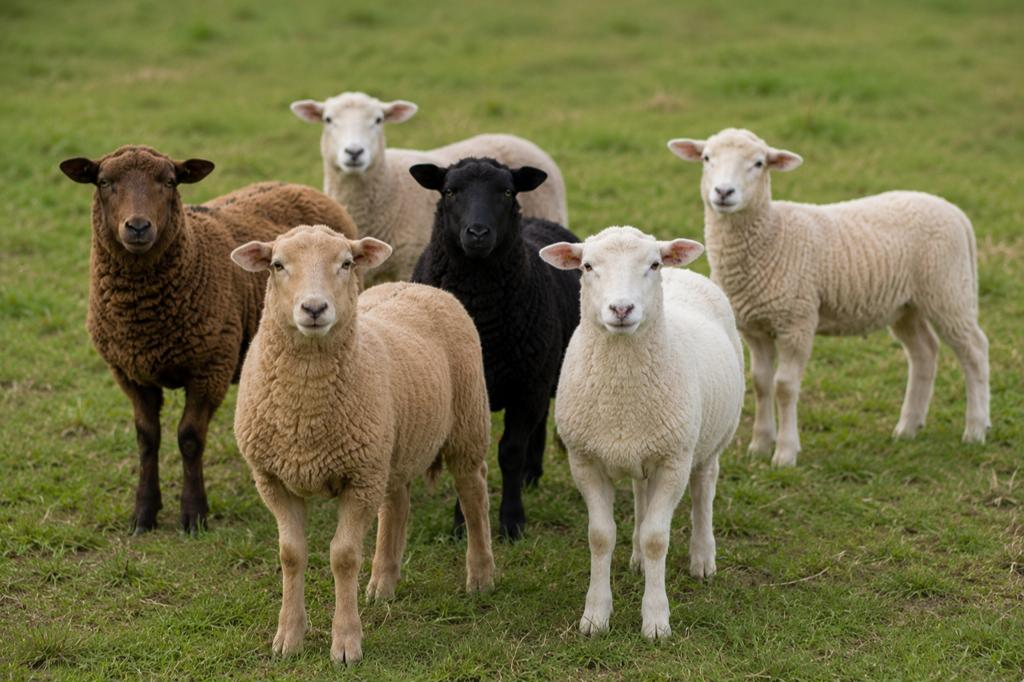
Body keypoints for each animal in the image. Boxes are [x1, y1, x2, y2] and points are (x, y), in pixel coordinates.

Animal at [59, 145, 358, 533]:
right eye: (104, 182)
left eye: (170, 181)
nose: (138, 227)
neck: (145, 314)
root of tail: (303, 188)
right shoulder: (129, 373)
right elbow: (146, 438)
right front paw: (144, 513)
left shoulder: (210, 367)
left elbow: (189, 438)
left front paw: (193, 514)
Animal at [230, 225, 494, 666]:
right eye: (277, 265)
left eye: (346, 263)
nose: (314, 308)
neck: (304, 409)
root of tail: (418, 286)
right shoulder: (274, 480)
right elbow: (290, 554)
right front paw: (289, 637)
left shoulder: (358, 480)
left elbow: (343, 556)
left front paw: (345, 643)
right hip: (390, 450)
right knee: (397, 505)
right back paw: (383, 583)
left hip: (466, 429)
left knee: (474, 498)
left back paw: (480, 576)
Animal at [408, 157, 581, 540]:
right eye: (450, 191)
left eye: (507, 192)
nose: (477, 233)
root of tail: (539, 220)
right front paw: (463, 525)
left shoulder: (527, 387)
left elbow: (511, 452)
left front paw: (512, 522)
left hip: (547, 369)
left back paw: (532, 474)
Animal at [539, 226, 744, 640]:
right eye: (587, 266)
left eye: (653, 265)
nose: (621, 310)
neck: (622, 395)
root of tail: (685, 273)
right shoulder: (585, 460)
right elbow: (601, 536)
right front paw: (595, 616)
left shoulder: (673, 461)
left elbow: (656, 538)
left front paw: (655, 620)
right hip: (643, 447)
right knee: (639, 494)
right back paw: (634, 558)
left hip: (709, 440)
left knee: (704, 490)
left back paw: (703, 559)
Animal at [667, 128, 991, 467]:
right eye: (706, 158)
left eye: (758, 163)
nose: (723, 192)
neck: (772, 234)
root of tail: (954, 211)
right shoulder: (754, 326)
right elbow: (761, 383)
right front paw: (760, 445)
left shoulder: (797, 321)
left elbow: (784, 386)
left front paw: (785, 453)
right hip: (907, 305)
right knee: (924, 352)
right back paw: (908, 427)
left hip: (948, 289)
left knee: (975, 350)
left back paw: (975, 429)